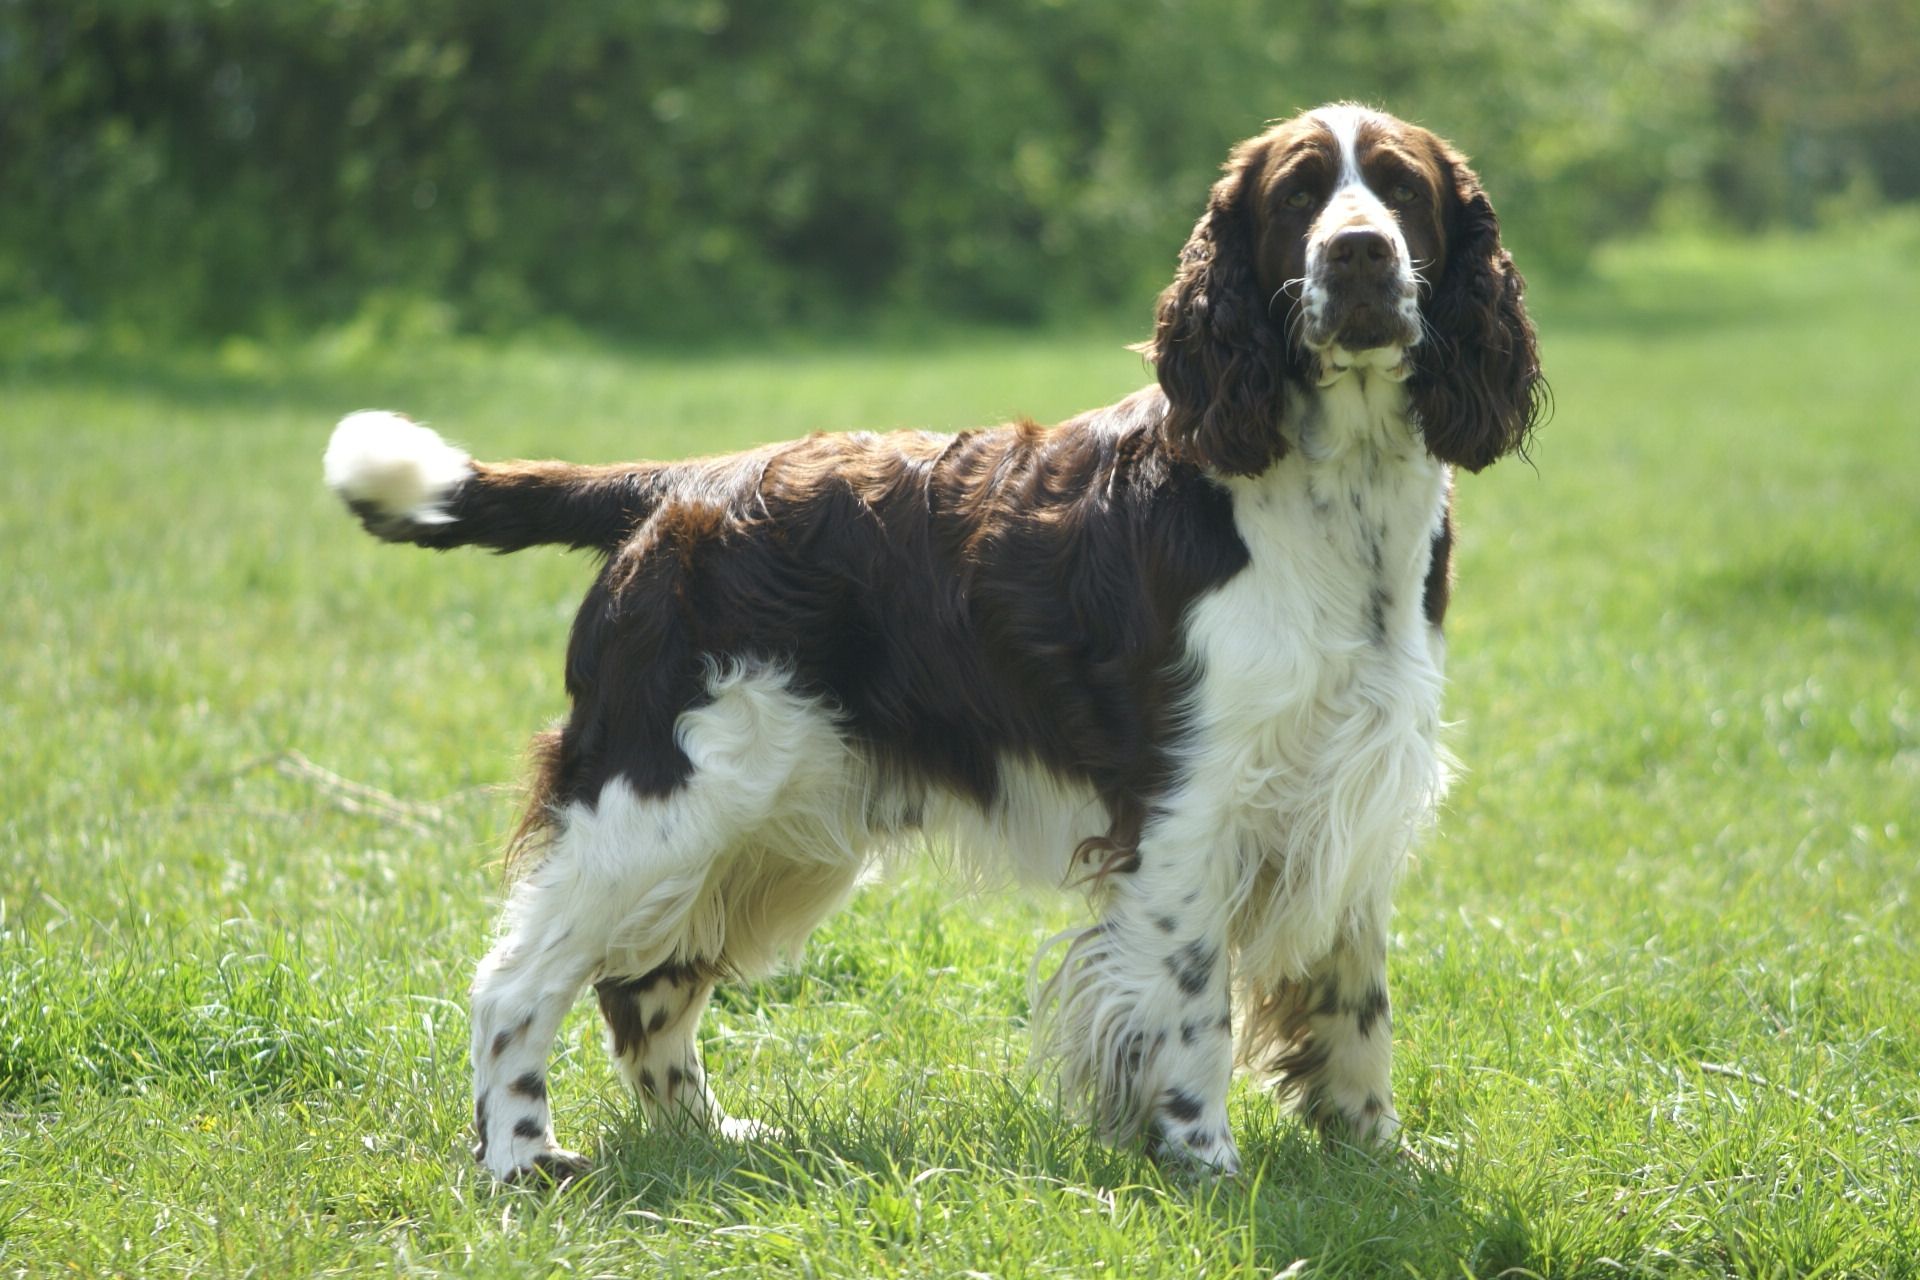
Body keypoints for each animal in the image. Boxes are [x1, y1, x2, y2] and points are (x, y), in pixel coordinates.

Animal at [318, 105, 1543, 1189]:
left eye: (1403, 191)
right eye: (1298, 195)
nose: (1359, 252)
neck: (1330, 498)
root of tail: (673, 489)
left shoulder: (1353, 784)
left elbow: (1356, 1004)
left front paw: (1378, 1156)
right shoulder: (1191, 805)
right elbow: (1195, 1005)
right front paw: (1206, 1163)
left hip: (767, 828)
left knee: (645, 986)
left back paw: (709, 1139)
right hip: (661, 794)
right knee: (517, 980)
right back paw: (519, 1159)